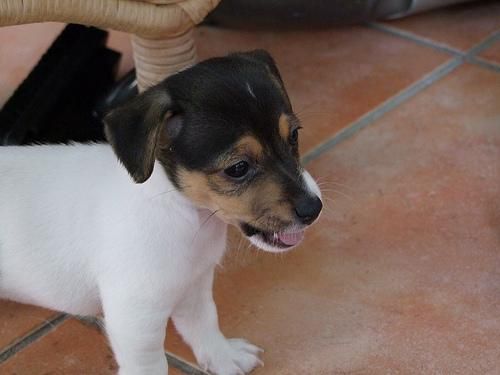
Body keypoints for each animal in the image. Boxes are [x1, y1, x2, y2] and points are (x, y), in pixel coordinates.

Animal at [0, 50, 322, 375]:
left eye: (294, 136)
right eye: (238, 168)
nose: (314, 208)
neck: (184, 215)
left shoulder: (194, 284)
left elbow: (204, 322)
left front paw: (223, 357)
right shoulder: (135, 317)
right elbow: (151, 363)